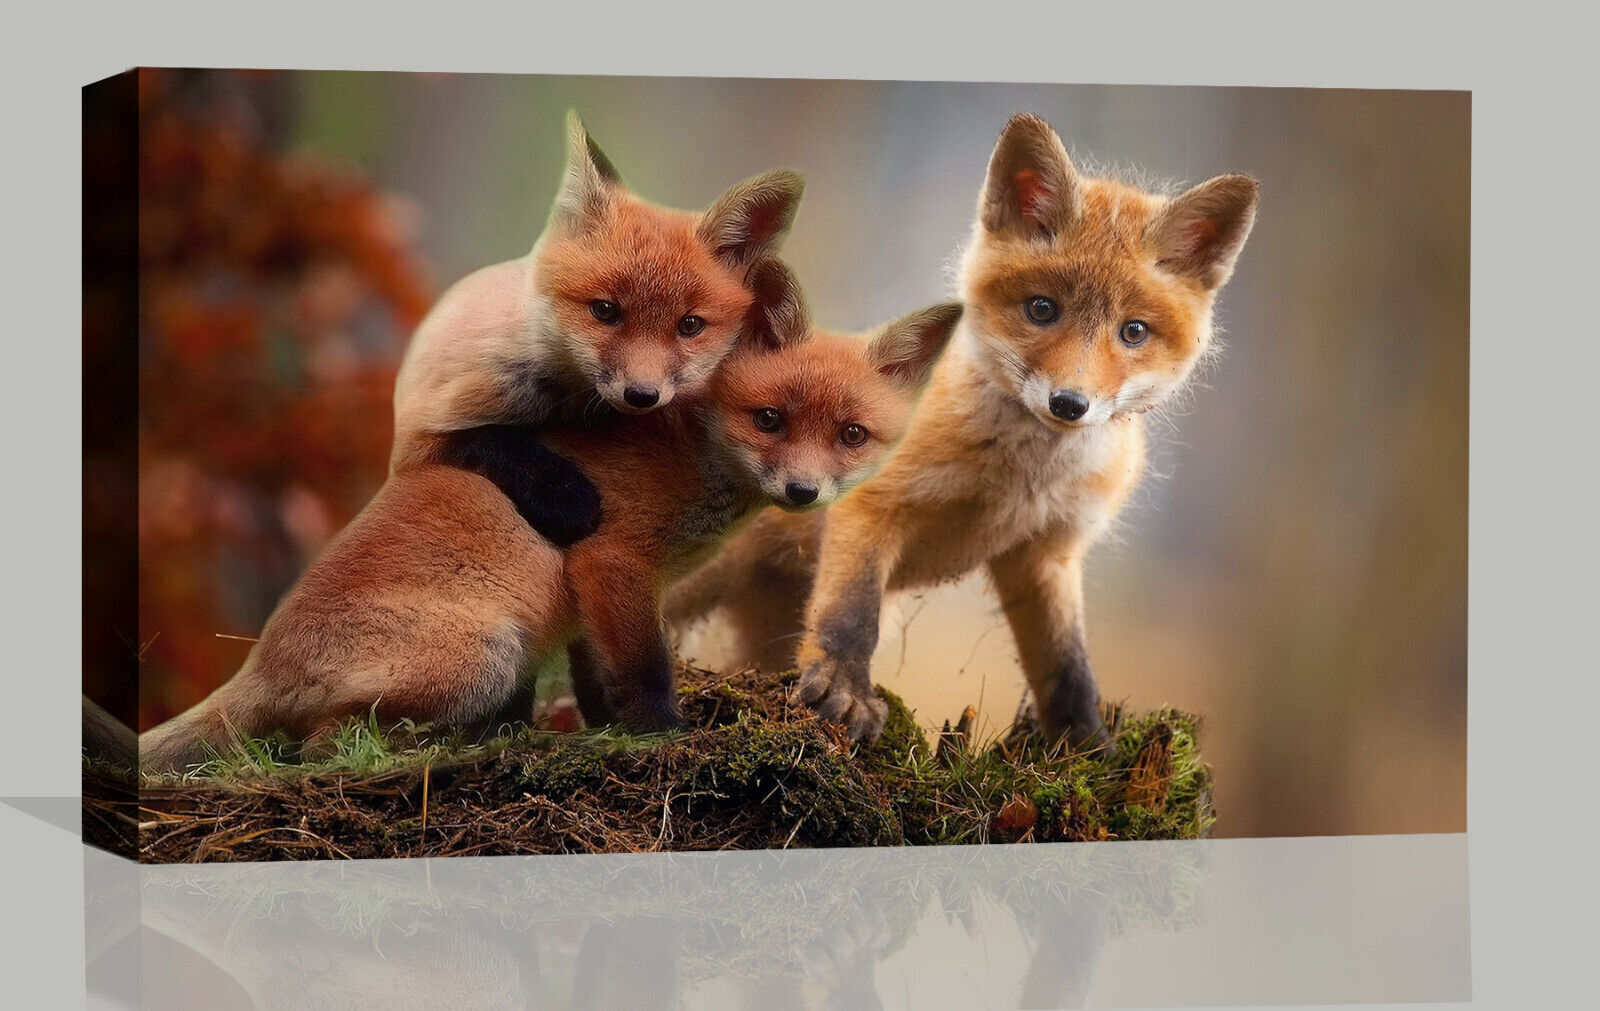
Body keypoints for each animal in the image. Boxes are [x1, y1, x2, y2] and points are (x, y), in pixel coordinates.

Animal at [139, 260, 962, 773]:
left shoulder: (595, 597)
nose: (801, 492)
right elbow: (645, 670)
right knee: (317, 748)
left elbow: (600, 680)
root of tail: (260, 659)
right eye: (770, 419)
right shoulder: (612, 560)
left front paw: (608, 732)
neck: (692, 450)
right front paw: (663, 736)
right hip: (487, 656)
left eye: (851, 435)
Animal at [392, 110, 804, 545]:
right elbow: (490, 440)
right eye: (604, 311)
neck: (563, 404)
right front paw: (561, 494)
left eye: (690, 325)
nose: (642, 395)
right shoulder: (417, 437)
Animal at [666, 113, 1258, 747]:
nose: (1069, 403)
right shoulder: (872, 506)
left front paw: (1086, 746)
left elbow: (1067, 668)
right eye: (1042, 309)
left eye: (1134, 332)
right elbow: (851, 616)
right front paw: (847, 693)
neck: (1018, 480)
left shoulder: (1045, 553)